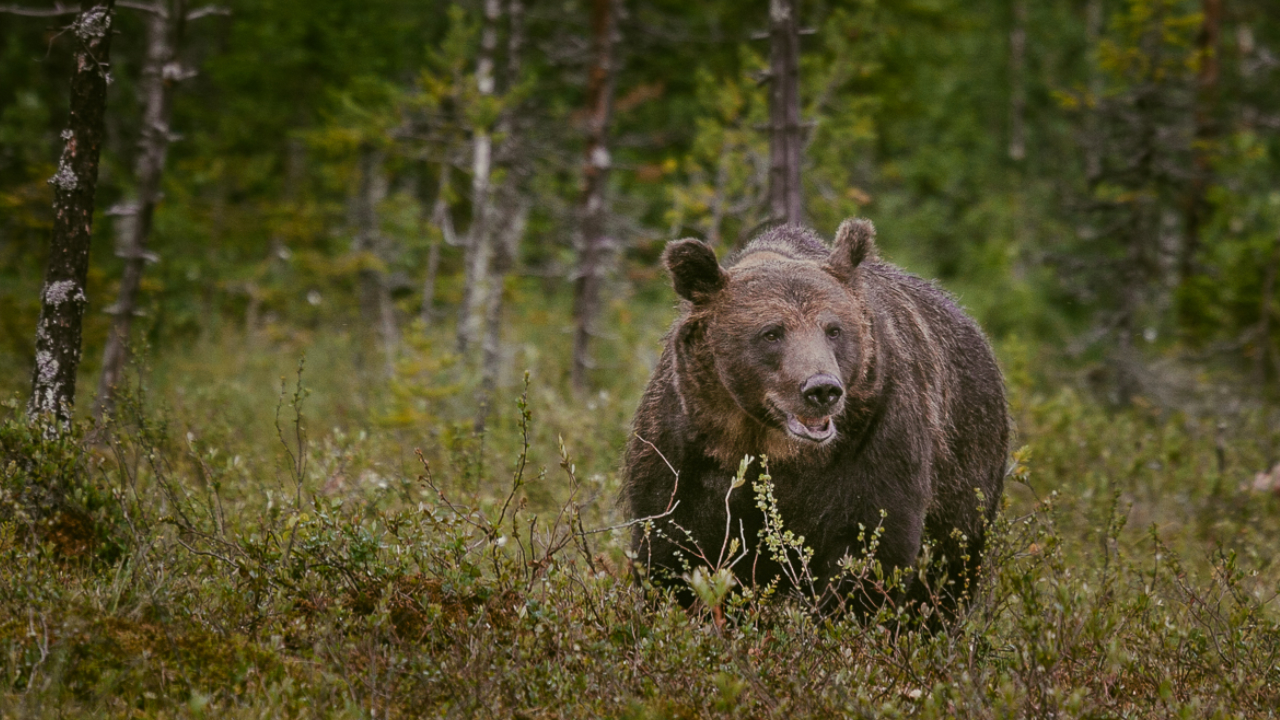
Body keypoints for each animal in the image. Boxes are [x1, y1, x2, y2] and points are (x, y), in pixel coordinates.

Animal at [622, 218, 1009, 620]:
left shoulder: (874, 442)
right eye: (771, 333)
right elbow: (670, 548)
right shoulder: (686, 448)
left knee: (949, 573)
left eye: (834, 329)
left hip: (966, 471)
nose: (822, 388)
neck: (768, 442)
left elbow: (870, 549)